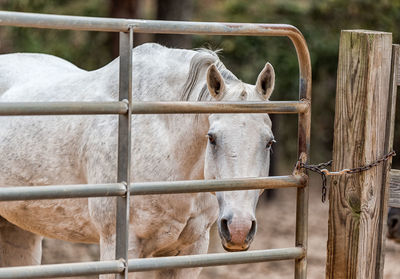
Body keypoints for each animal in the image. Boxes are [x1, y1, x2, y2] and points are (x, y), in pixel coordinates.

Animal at [0, 42, 276, 278]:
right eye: (212, 138)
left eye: (269, 142)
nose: (239, 229)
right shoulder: (120, 248)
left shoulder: (190, 250)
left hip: (18, 231)